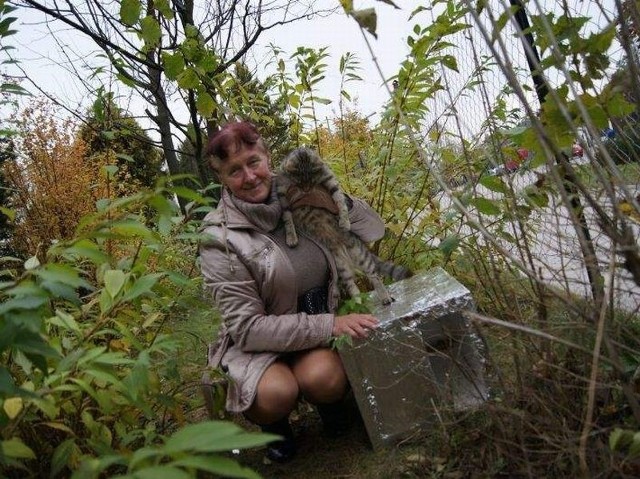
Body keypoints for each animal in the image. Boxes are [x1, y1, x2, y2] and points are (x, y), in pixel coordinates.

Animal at [278, 146, 412, 306]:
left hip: (359, 255)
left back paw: (383, 296)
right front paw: (291, 236)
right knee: (352, 285)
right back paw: (359, 304)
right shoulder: (282, 193)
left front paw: (345, 219)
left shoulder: (329, 179)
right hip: (340, 265)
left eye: (312, 181)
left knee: (374, 276)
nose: (306, 190)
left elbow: (339, 199)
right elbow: (287, 216)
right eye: (299, 182)